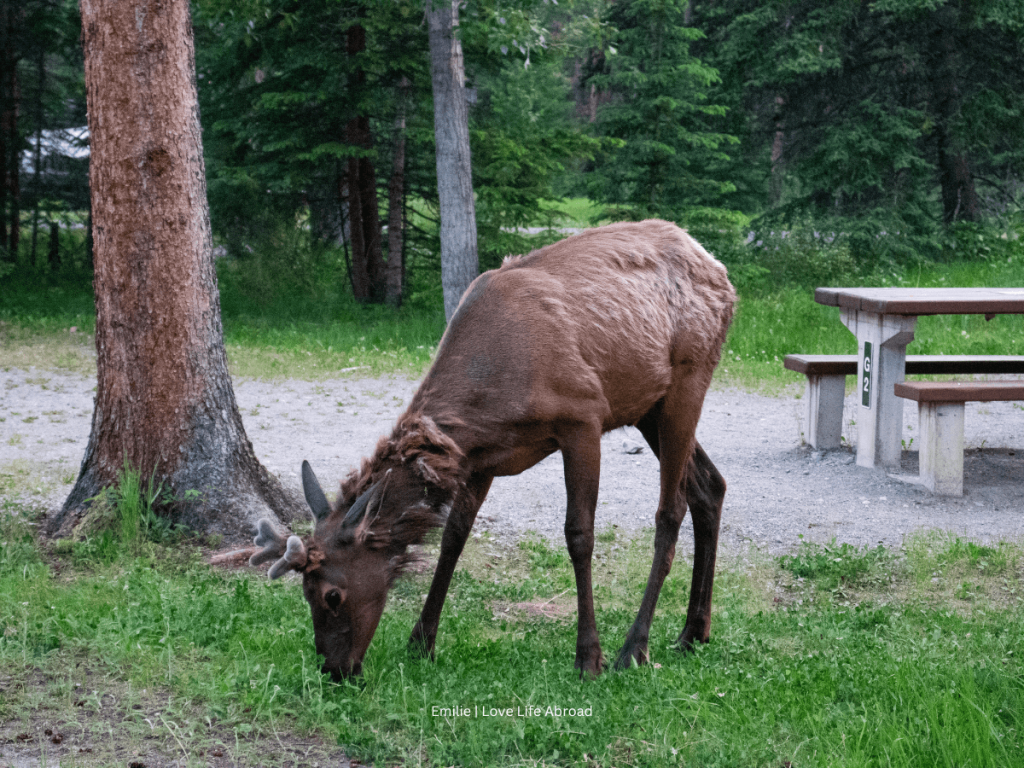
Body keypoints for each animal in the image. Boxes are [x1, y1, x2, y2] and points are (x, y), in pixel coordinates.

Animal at [251, 219, 736, 679]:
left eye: (332, 595)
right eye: (304, 593)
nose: (335, 669)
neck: (492, 396)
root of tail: (722, 273)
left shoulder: (584, 417)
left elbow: (579, 534)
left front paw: (588, 658)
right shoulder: (479, 459)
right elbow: (453, 536)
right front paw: (420, 642)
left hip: (687, 379)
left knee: (670, 509)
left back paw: (634, 648)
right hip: (647, 404)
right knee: (709, 484)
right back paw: (694, 632)